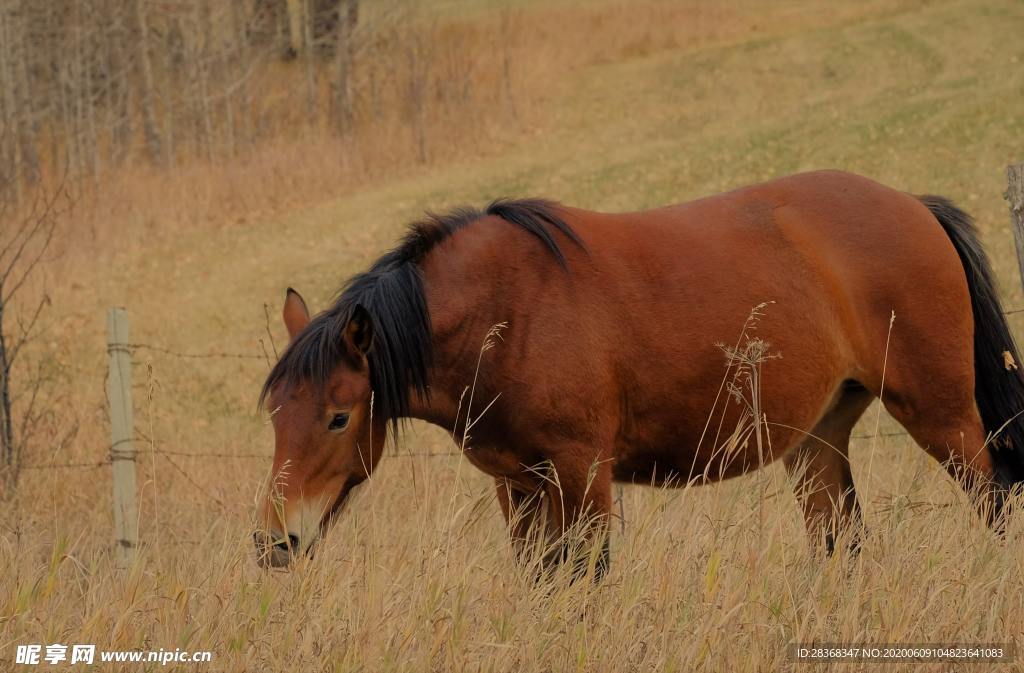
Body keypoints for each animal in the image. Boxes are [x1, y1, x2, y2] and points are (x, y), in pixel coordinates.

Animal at [253, 170, 1024, 576]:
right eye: (275, 417)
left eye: (338, 415)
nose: (273, 541)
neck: (506, 310)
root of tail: (914, 204)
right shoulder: (518, 486)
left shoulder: (582, 474)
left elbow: (586, 578)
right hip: (817, 441)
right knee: (839, 541)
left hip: (943, 418)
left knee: (997, 503)